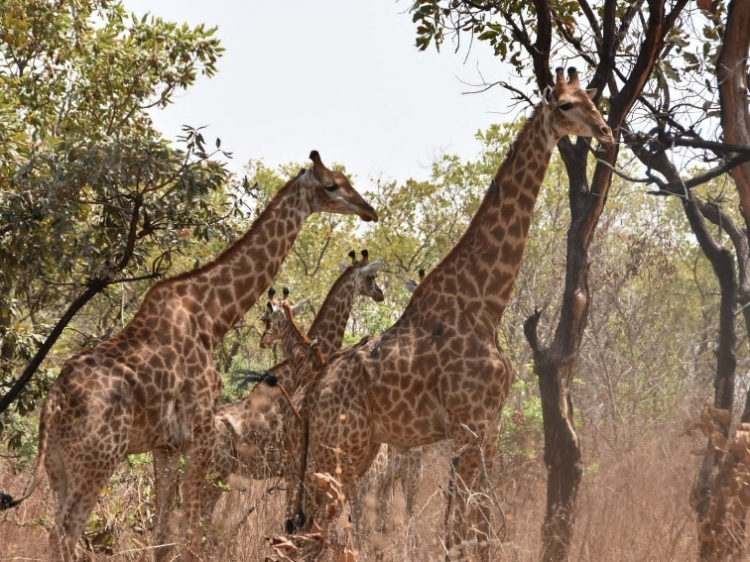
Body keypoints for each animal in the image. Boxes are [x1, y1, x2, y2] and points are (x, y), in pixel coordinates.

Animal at [284, 68, 612, 556]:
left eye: (593, 99)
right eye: (567, 105)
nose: (606, 131)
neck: (487, 303)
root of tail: (314, 392)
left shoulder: (489, 427)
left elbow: (478, 528)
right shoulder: (469, 425)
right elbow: (461, 532)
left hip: (358, 448)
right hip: (339, 446)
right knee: (311, 532)